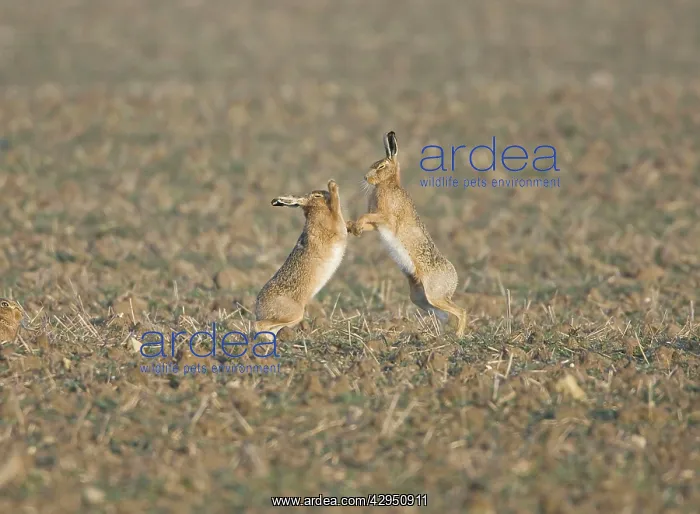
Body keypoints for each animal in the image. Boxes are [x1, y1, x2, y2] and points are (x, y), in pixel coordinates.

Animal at [255, 180, 348, 341]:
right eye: (317, 196)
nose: (326, 193)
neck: (313, 212)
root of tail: (259, 309)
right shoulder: (334, 225)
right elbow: (336, 208)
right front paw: (333, 186)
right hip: (294, 313)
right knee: (259, 325)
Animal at [346, 131, 467, 336]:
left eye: (381, 166)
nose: (365, 177)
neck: (388, 185)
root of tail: (454, 279)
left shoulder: (386, 218)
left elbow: (366, 216)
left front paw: (356, 227)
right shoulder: (377, 225)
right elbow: (367, 222)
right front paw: (353, 228)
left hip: (434, 294)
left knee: (461, 311)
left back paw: (457, 336)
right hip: (420, 298)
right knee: (443, 314)